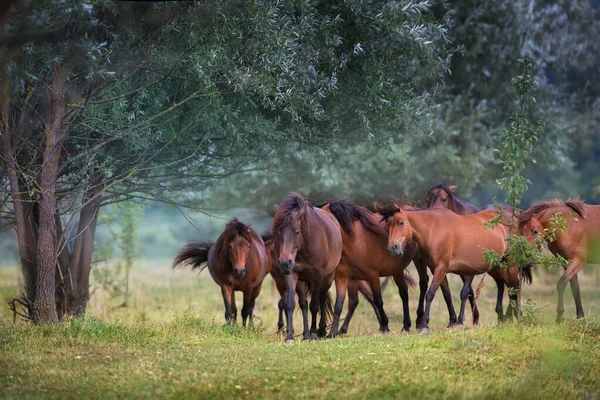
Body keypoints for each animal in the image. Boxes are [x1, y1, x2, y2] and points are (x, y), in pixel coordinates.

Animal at [272, 193, 342, 340]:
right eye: (277, 232)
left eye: (297, 232)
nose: (284, 263)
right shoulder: (291, 273)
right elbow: (290, 304)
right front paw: (290, 336)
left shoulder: (317, 276)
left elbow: (314, 306)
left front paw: (314, 333)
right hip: (301, 281)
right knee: (303, 303)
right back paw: (305, 334)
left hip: (327, 278)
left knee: (321, 298)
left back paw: (320, 330)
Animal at [314, 202, 418, 336]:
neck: (355, 243)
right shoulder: (342, 278)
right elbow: (338, 305)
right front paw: (332, 333)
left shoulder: (373, 276)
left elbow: (378, 300)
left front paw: (385, 326)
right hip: (396, 271)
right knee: (403, 292)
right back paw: (406, 325)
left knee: (405, 293)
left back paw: (408, 325)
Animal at [378, 203, 532, 332]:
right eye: (386, 227)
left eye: (401, 222)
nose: (393, 248)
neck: (434, 229)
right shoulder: (438, 270)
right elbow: (447, 295)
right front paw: (452, 322)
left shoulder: (441, 268)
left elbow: (430, 294)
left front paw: (424, 324)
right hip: (497, 267)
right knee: (506, 286)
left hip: (510, 264)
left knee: (513, 289)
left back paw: (513, 317)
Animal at [424, 183, 512, 324]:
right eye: (427, 199)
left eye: (444, 199)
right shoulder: (462, 269)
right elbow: (463, 292)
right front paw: (472, 318)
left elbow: (465, 291)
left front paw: (463, 320)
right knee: (501, 284)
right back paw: (500, 315)